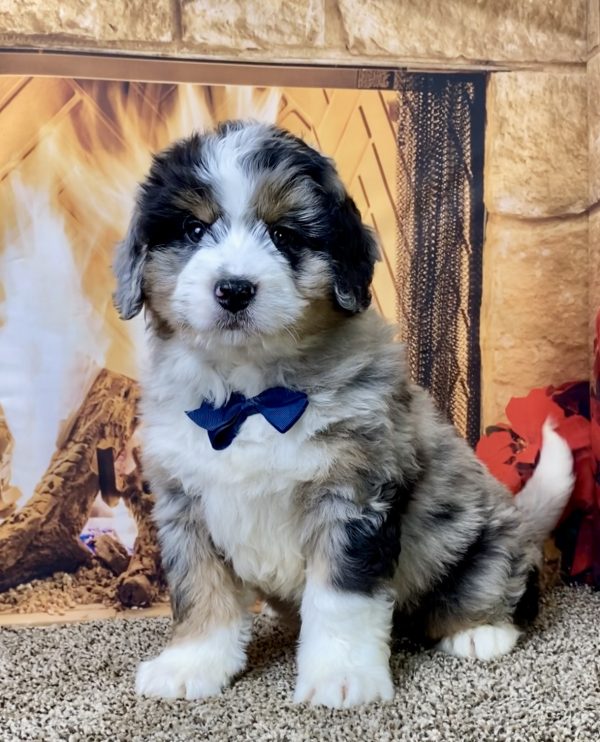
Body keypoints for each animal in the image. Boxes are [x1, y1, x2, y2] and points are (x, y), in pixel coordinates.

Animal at [113, 120, 576, 708]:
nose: (235, 289)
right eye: (194, 231)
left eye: (285, 235)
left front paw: (340, 678)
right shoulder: (184, 504)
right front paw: (191, 664)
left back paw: (480, 631)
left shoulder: (353, 496)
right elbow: (200, 590)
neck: (253, 398)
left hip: (484, 545)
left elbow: (339, 600)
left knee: (501, 586)